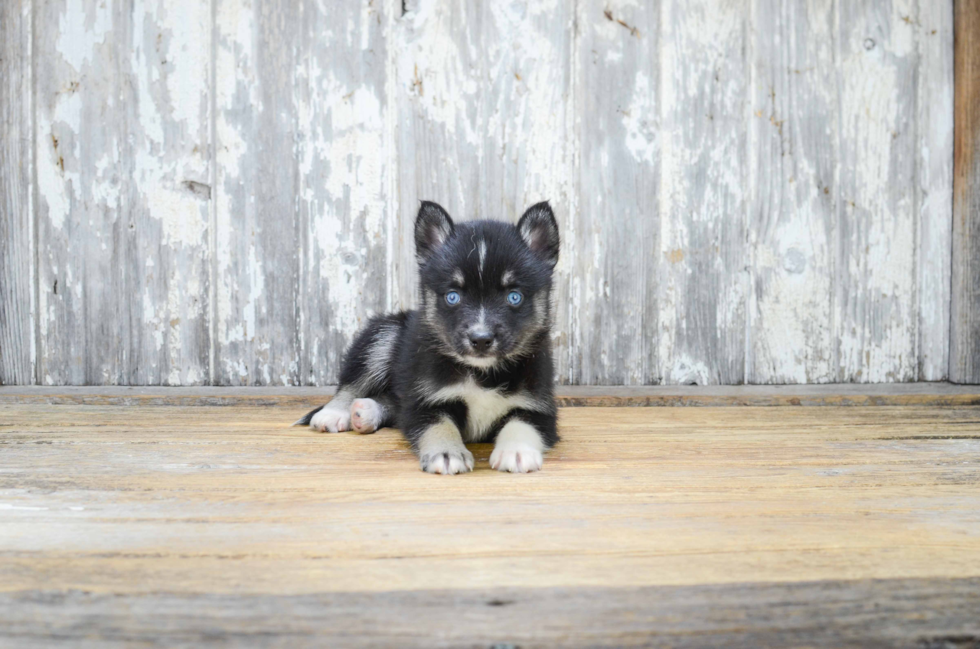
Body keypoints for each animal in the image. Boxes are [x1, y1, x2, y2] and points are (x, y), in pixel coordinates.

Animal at [290, 200, 560, 474]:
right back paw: (335, 412)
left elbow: (522, 424)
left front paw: (516, 451)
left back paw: (365, 412)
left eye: (514, 296)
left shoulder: (538, 406)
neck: (481, 374)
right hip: (385, 335)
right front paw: (447, 452)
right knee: (353, 383)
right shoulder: (425, 401)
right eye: (452, 296)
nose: (481, 339)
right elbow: (439, 425)